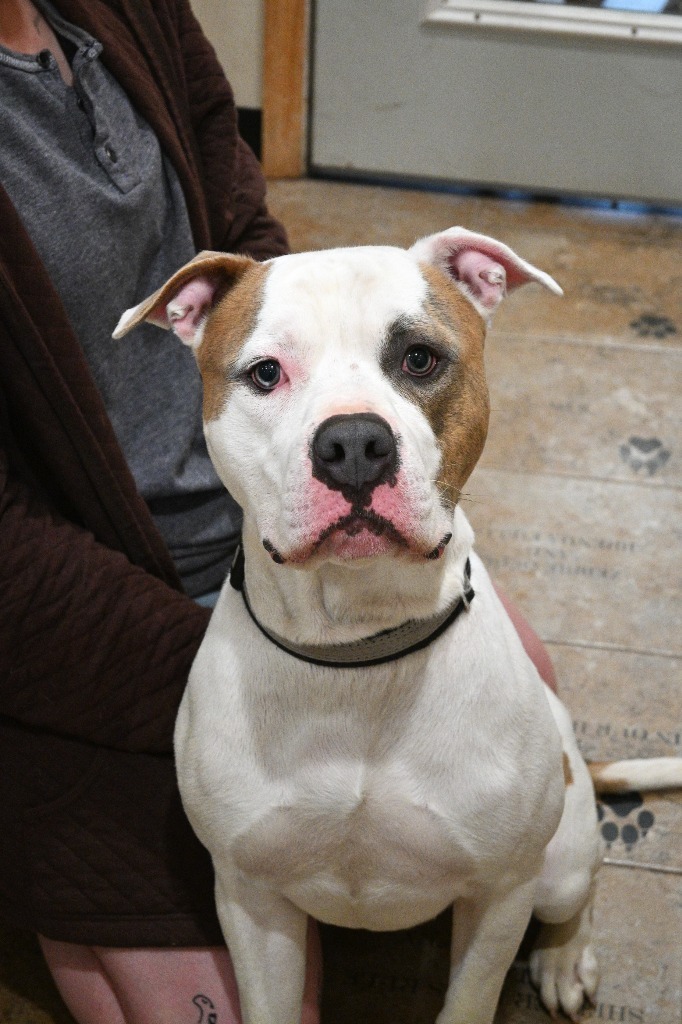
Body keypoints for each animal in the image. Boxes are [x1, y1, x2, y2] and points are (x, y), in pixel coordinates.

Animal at [116, 230, 679, 1024]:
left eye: (419, 359)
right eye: (265, 373)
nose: (353, 443)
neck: (360, 647)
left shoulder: (500, 893)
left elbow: (469, 1000)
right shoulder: (251, 902)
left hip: (558, 862)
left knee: (582, 888)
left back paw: (565, 957)